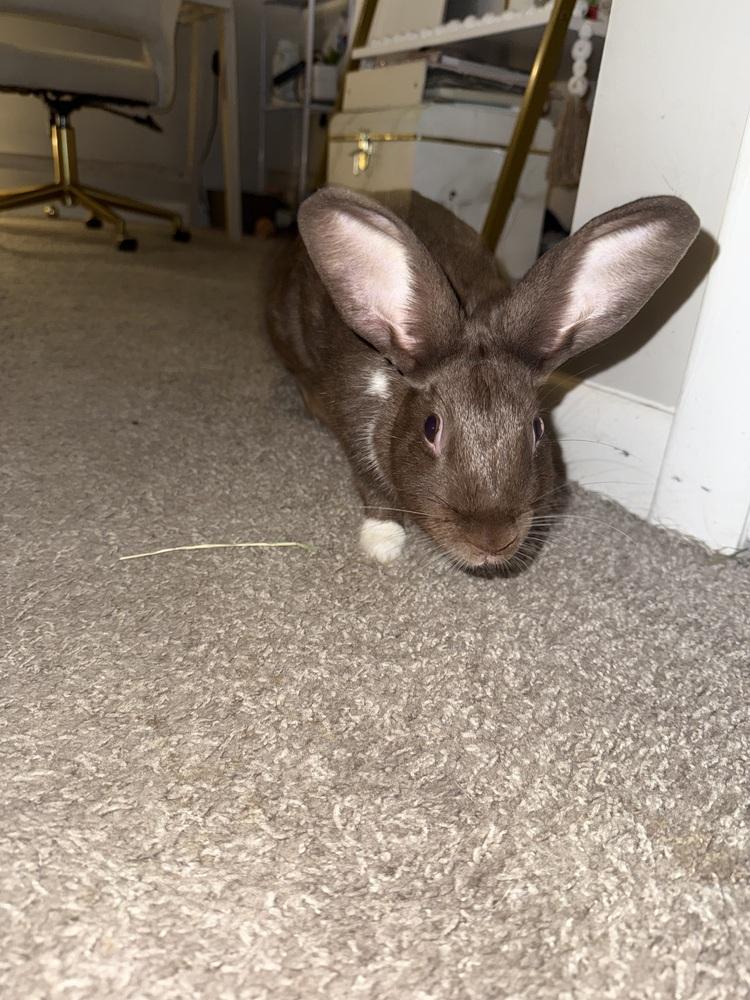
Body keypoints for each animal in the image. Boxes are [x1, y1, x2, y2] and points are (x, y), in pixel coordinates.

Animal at [268, 186, 698, 570]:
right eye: (431, 427)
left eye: (537, 429)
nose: (492, 542)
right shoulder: (356, 419)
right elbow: (371, 485)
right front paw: (383, 544)